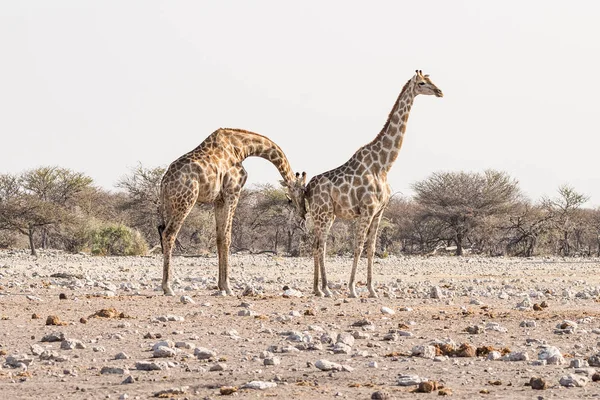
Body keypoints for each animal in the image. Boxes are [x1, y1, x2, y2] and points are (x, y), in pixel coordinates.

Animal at [157, 128, 308, 296]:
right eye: (303, 191)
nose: (304, 211)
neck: (242, 148)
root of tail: (164, 182)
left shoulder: (219, 199)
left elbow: (219, 237)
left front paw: (221, 285)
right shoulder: (233, 191)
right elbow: (227, 237)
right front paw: (228, 287)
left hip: (170, 205)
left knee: (164, 232)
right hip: (186, 200)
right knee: (169, 234)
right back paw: (168, 287)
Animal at [308, 69, 442, 296]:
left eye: (431, 80)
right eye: (423, 83)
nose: (440, 91)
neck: (384, 165)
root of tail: (307, 189)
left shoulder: (380, 211)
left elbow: (371, 248)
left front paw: (372, 289)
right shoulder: (367, 210)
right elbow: (358, 247)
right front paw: (352, 289)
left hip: (327, 215)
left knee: (317, 244)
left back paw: (318, 289)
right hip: (323, 214)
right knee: (320, 245)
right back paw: (325, 289)